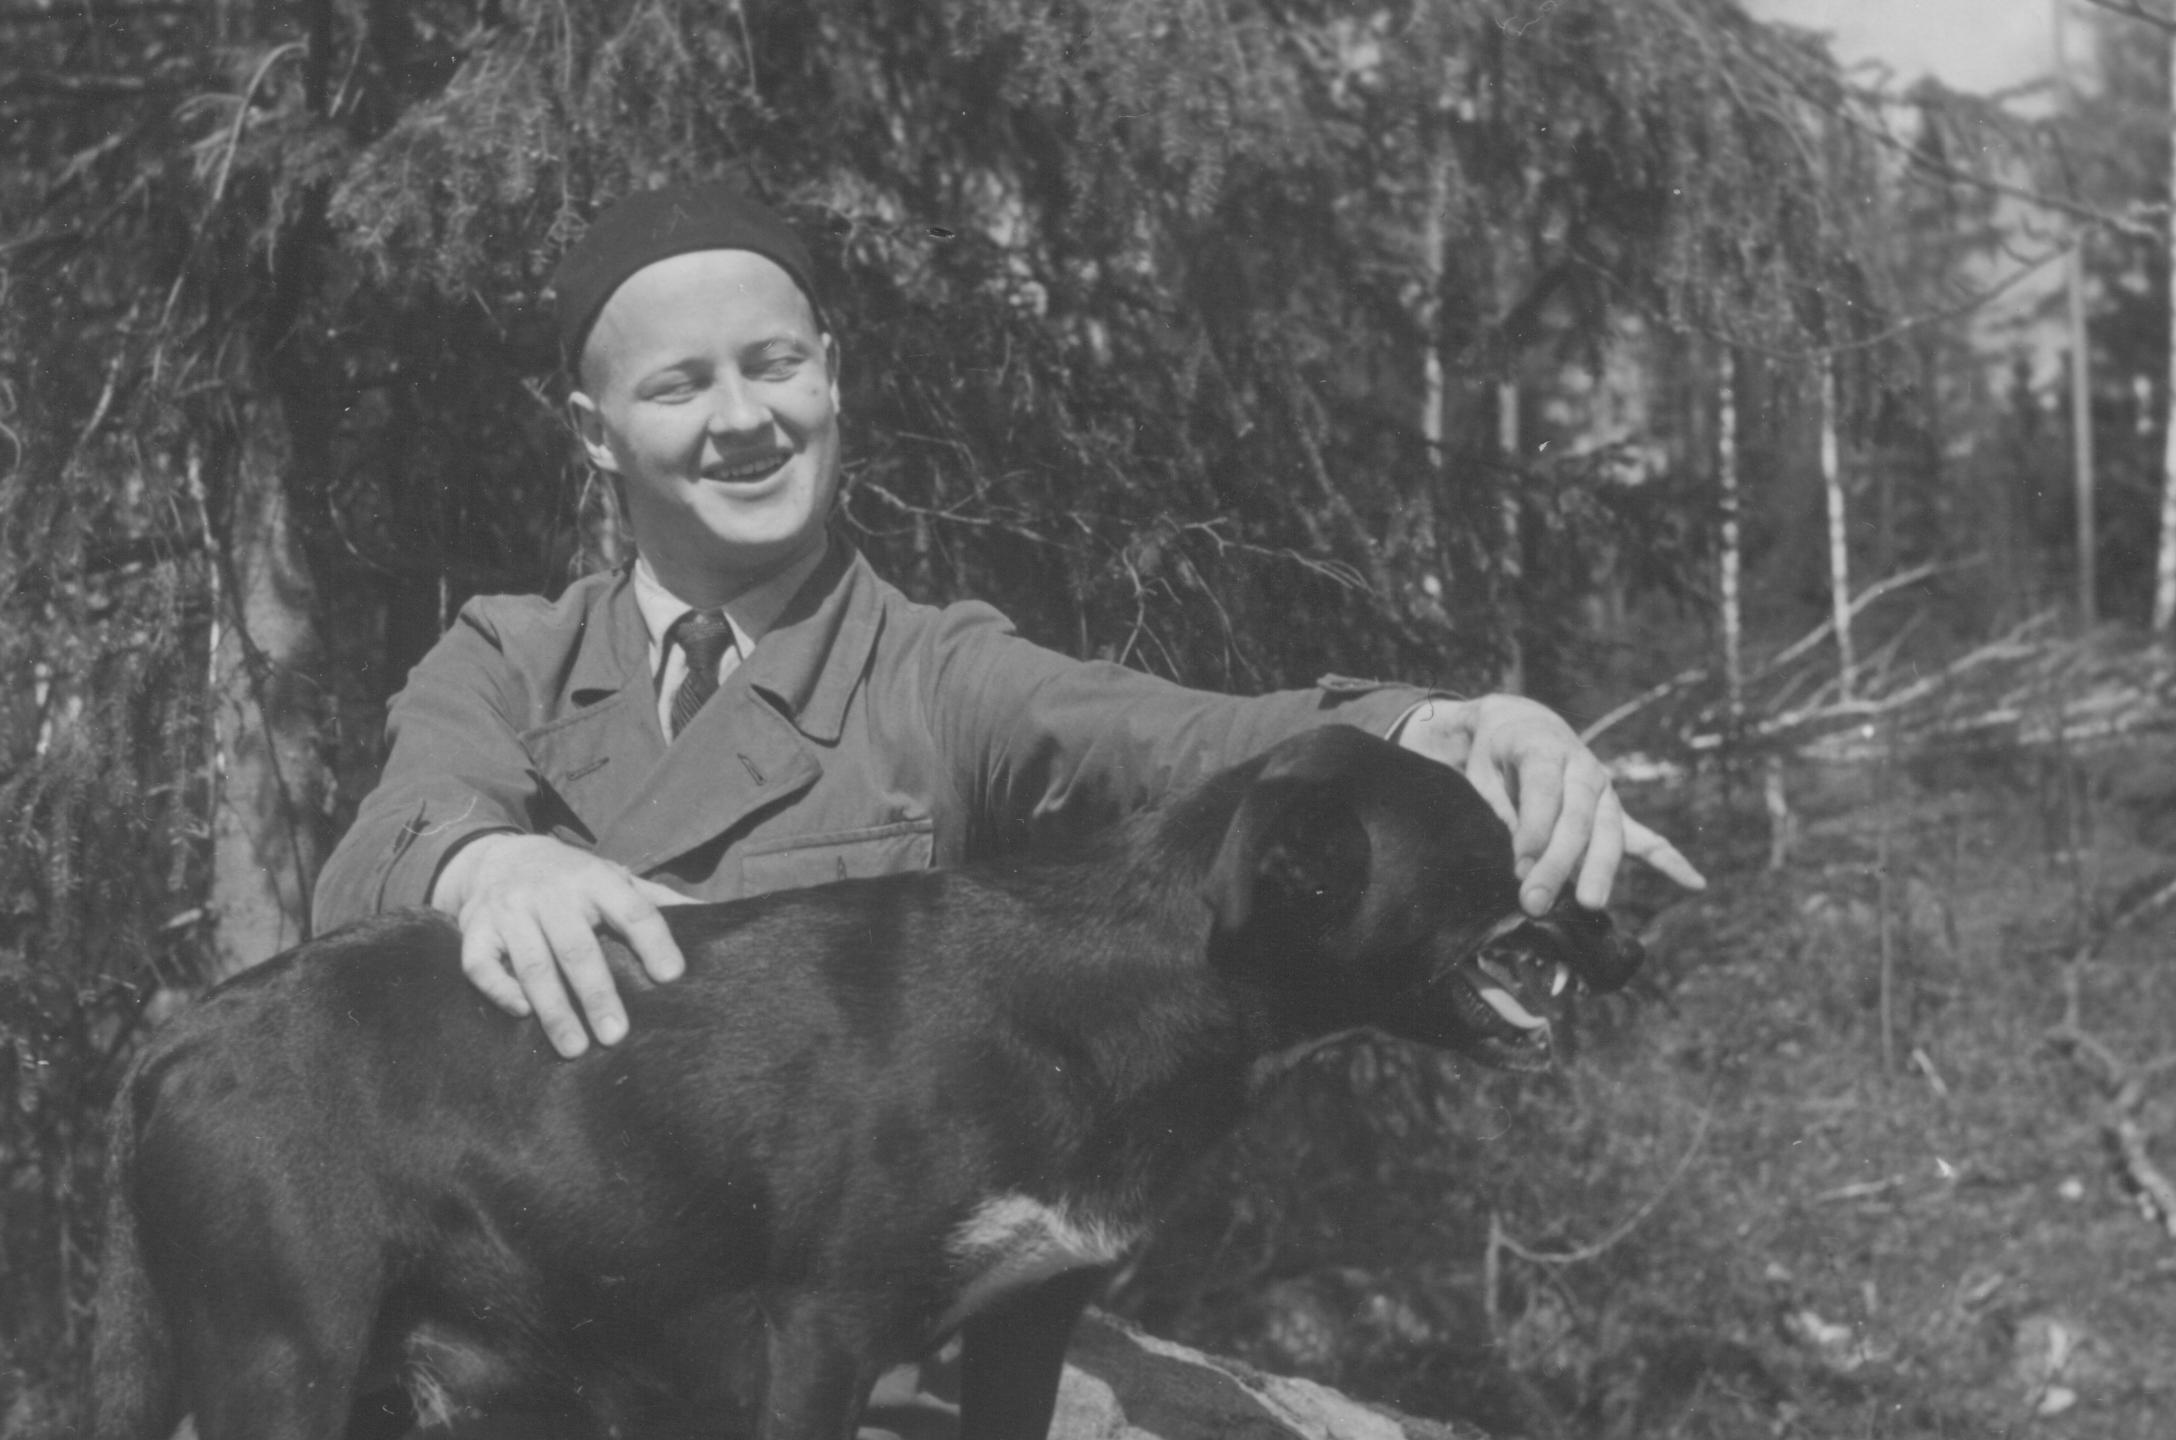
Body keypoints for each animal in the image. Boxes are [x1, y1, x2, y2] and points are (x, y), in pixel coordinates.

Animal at [89, 724, 1643, 1440]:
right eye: (1495, 851)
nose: (1628, 936)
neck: (1092, 989)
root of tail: (177, 1042)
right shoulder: (817, 1333)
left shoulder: (1025, 1322)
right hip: (280, 1357)